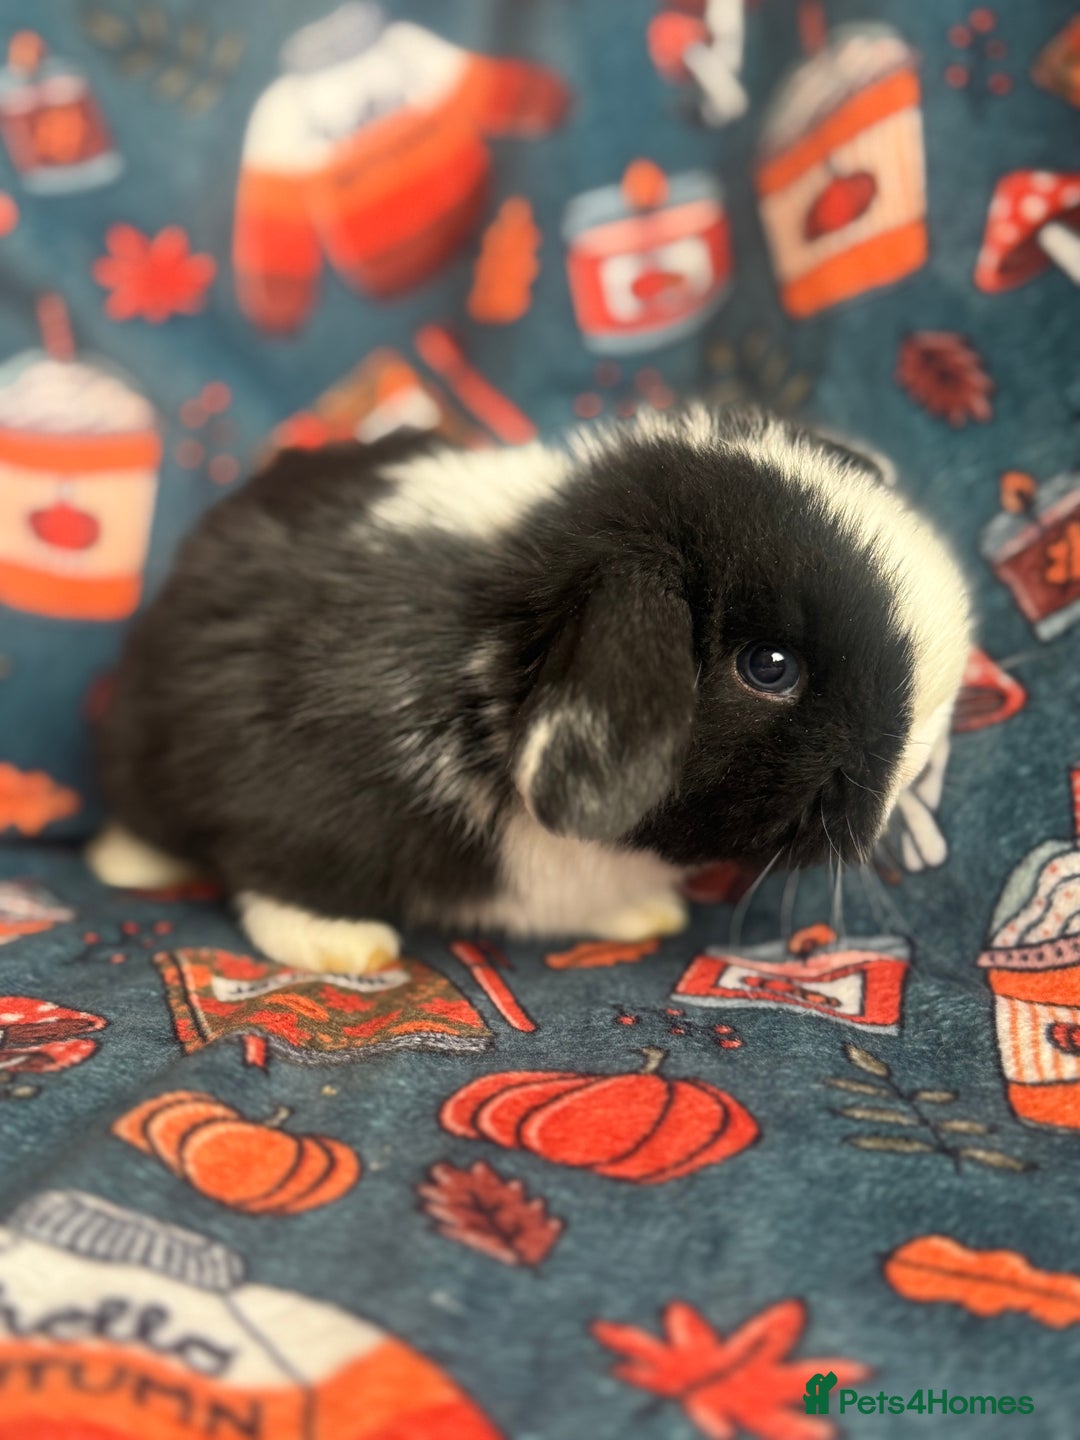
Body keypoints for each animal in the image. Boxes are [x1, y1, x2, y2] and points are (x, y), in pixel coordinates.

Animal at [87, 405, 971, 974]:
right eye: (771, 666)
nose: (918, 768)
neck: (504, 664)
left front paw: (646, 915)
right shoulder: (296, 806)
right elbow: (282, 889)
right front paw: (348, 948)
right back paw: (126, 867)